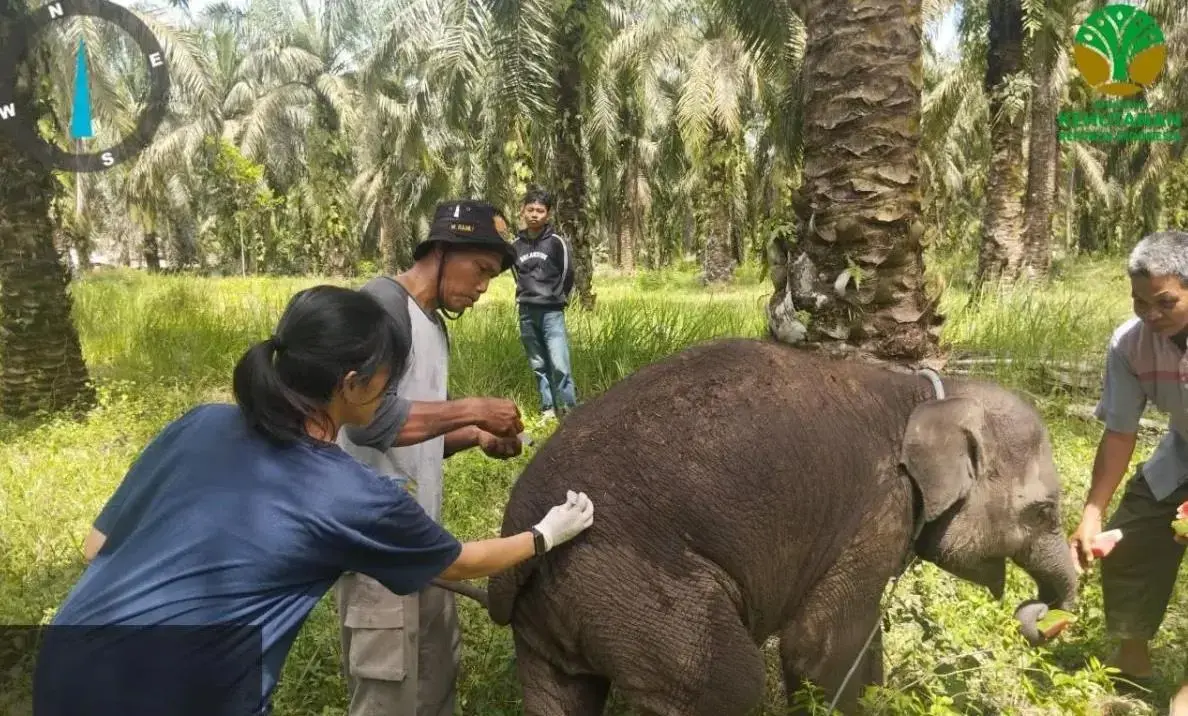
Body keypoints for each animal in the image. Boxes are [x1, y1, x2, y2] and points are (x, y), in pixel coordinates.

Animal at [469, 337, 1078, 715]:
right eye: (1043, 512)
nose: (1041, 620)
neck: (924, 391)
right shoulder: (879, 506)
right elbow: (820, 646)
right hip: (635, 588)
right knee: (727, 683)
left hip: (559, 608)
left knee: (560, 693)